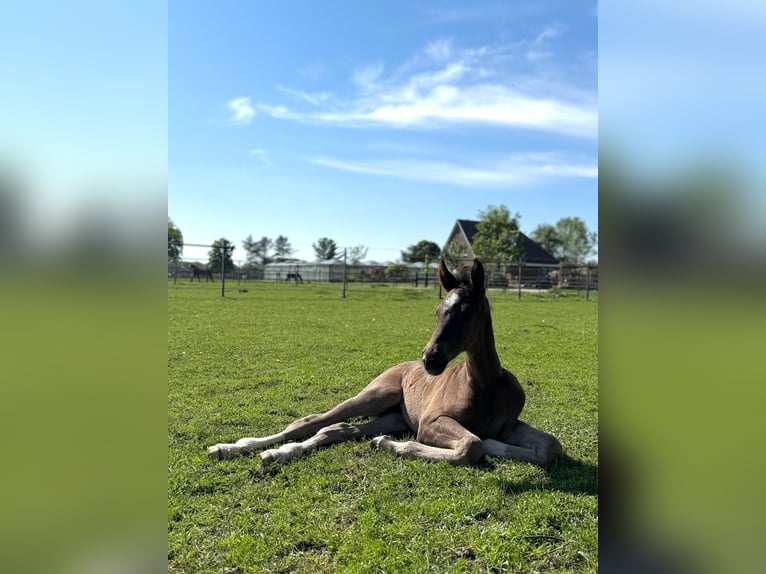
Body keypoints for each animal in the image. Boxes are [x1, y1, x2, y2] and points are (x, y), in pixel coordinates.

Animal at [207, 259, 562, 467]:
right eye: (437, 312)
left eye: (467, 313)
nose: (430, 359)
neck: (486, 386)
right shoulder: (428, 423)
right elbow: (471, 446)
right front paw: (399, 448)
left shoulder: (510, 425)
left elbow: (550, 448)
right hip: (375, 395)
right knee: (310, 421)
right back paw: (237, 448)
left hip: (392, 417)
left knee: (338, 429)